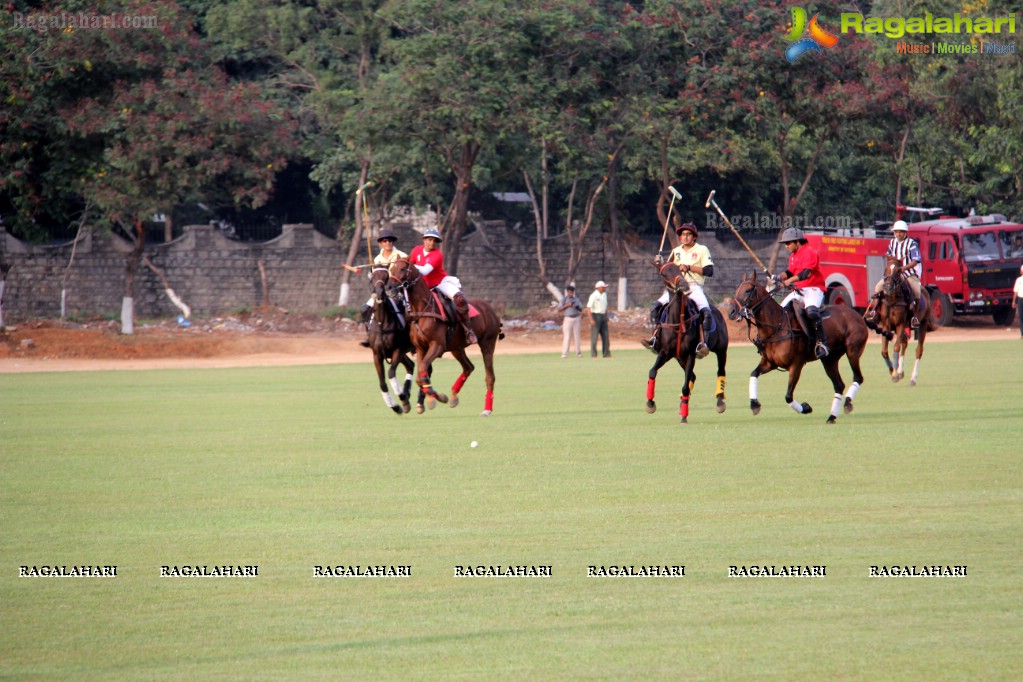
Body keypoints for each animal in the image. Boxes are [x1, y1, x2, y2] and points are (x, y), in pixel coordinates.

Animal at [384, 255, 505, 417]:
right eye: (391, 269)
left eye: (403, 268)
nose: (389, 288)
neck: (422, 310)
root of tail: (491, 309)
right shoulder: (421, 348)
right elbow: (419, 376)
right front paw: (435, 398)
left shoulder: (437, 345)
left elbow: (423, 369)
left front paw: (436, 398)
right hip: (457, 348)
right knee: (468, 367)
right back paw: (453, 396)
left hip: (487, 343)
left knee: (490, 376)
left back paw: (487, 409)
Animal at [646, 259, 728, 423]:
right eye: (664, 274)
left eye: (679, 269)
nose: (684, 285)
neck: (678, 321)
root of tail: (717, 311)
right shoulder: (666, 352)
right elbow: (652, 372)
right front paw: (650, 404)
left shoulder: (691, 354)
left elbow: (685, 386)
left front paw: (684, 417)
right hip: (679, 357)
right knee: (692, 376)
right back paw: (682, 403)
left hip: (722, 349)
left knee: (720, 371)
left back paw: (720, 401)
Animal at [732, 269, 867, 421]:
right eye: (737, 290)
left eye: (748, 290)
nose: (732, 311)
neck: (777, 327)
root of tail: (858, 316)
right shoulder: (770, 363)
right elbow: (753, 374)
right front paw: (754, 404)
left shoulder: (796, 365)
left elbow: (788, 396)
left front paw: (806, 407)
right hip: (829, 359)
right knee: (839, 385)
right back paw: (832, 417)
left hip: (853, 351)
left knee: (858, 377)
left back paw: (847, 402)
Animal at [875, 254, 932, 384]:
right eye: (885, 269)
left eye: (898, 271)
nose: (888, 287)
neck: (892, 299)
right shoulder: (886, 325)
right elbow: (884, 351)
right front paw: (893, 371)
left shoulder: (900, 324)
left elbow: (896, 347)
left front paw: (895, 374)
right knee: (904, 343)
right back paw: (901, 371)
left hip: (923, 323)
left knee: (919, 349)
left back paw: (913, 378)